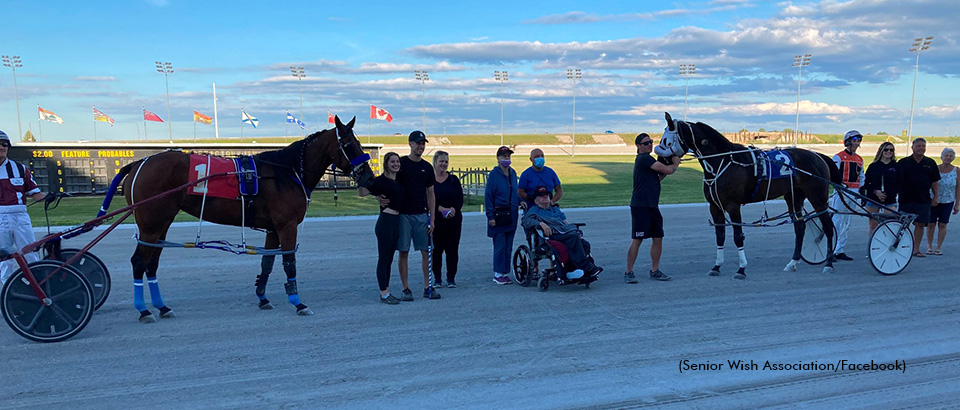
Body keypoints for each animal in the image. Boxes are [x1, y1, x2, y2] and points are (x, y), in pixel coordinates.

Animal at [99, 114, 374, 320]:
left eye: (359, 143)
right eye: (349, 145)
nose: (369, 177)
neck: (285, 172)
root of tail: (140, 162)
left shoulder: (273, 228)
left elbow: (267, 263)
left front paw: (263, 297)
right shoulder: (287, 226)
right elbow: (289, 262)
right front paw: (297, 302)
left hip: (161, 225)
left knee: (151, 264)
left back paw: (162, 306)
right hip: (151, 225)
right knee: (138, 262)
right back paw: (143, 310)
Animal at [656, 112, 836, 278]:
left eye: (667, 141)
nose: (660, 161)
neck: (722, 161)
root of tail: (818, 156)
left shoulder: (733, 206)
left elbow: (738, 237)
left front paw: (741, 269)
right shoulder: (715, 207)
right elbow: (720, 236)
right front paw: (716, 266)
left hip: (817, 197)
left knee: (828, 227)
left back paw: (828, 263)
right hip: (793, 196)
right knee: (800, 227)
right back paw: (792, 262)